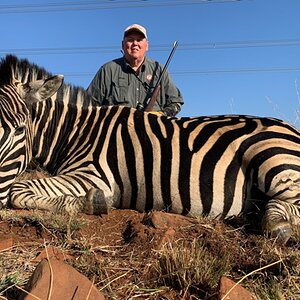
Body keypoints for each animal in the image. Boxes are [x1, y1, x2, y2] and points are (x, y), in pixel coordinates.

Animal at [0, 55, 300, 245]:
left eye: (19, 130)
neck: (75, 131)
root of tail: (290, 129)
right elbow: (20, 189)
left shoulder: (94, 175)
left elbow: (17, 190)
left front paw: (92, 202)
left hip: (272, 156)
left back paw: (277, 224)